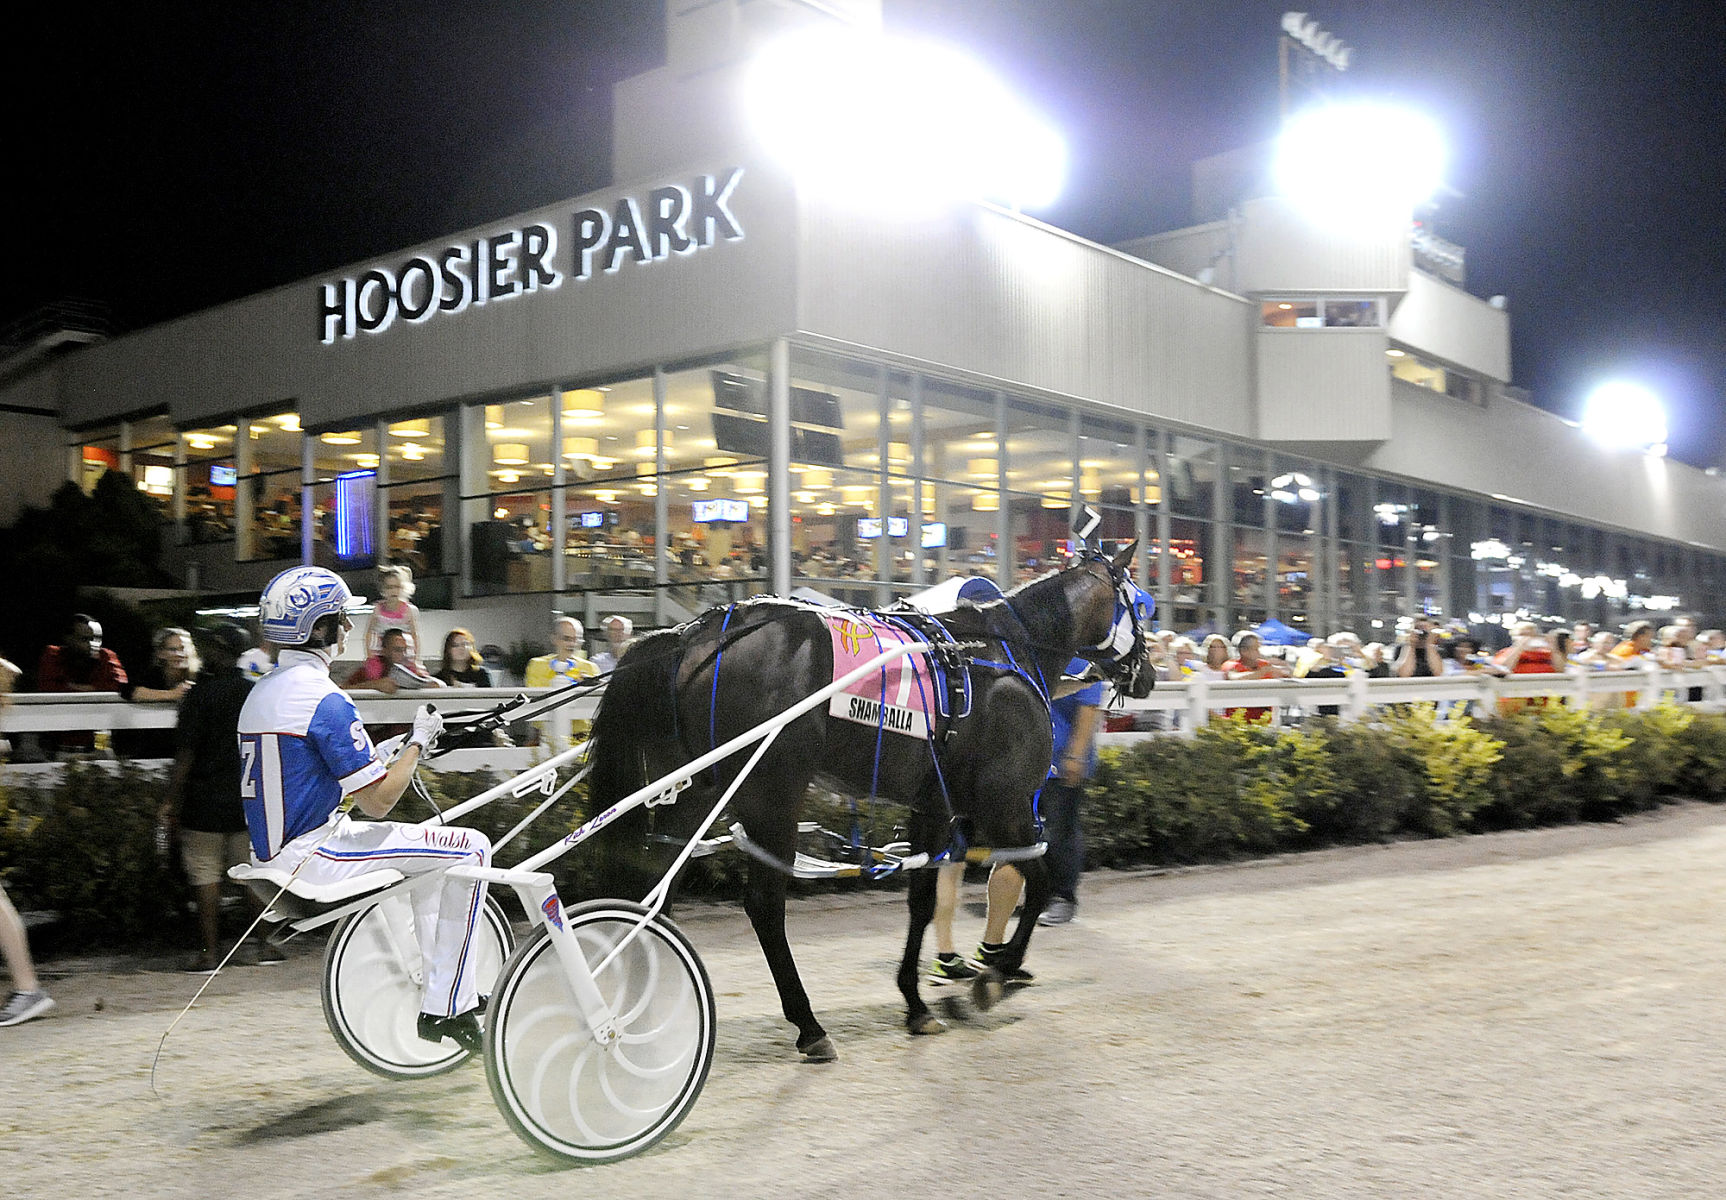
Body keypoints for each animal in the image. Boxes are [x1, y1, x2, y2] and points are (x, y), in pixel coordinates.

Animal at [586, 545, 1152, 1063]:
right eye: (1141, 606)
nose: (1145, 674)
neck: (1001, 652)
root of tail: (691, 636)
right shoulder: (1006, 805)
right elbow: (1038, 884)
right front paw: (996, 972)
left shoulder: (938, 808)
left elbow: (924, 901)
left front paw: (918, 1002)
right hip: (772, 792)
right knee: (763, 905)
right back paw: (808, 1025)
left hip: (697, 790)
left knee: (653, 882)